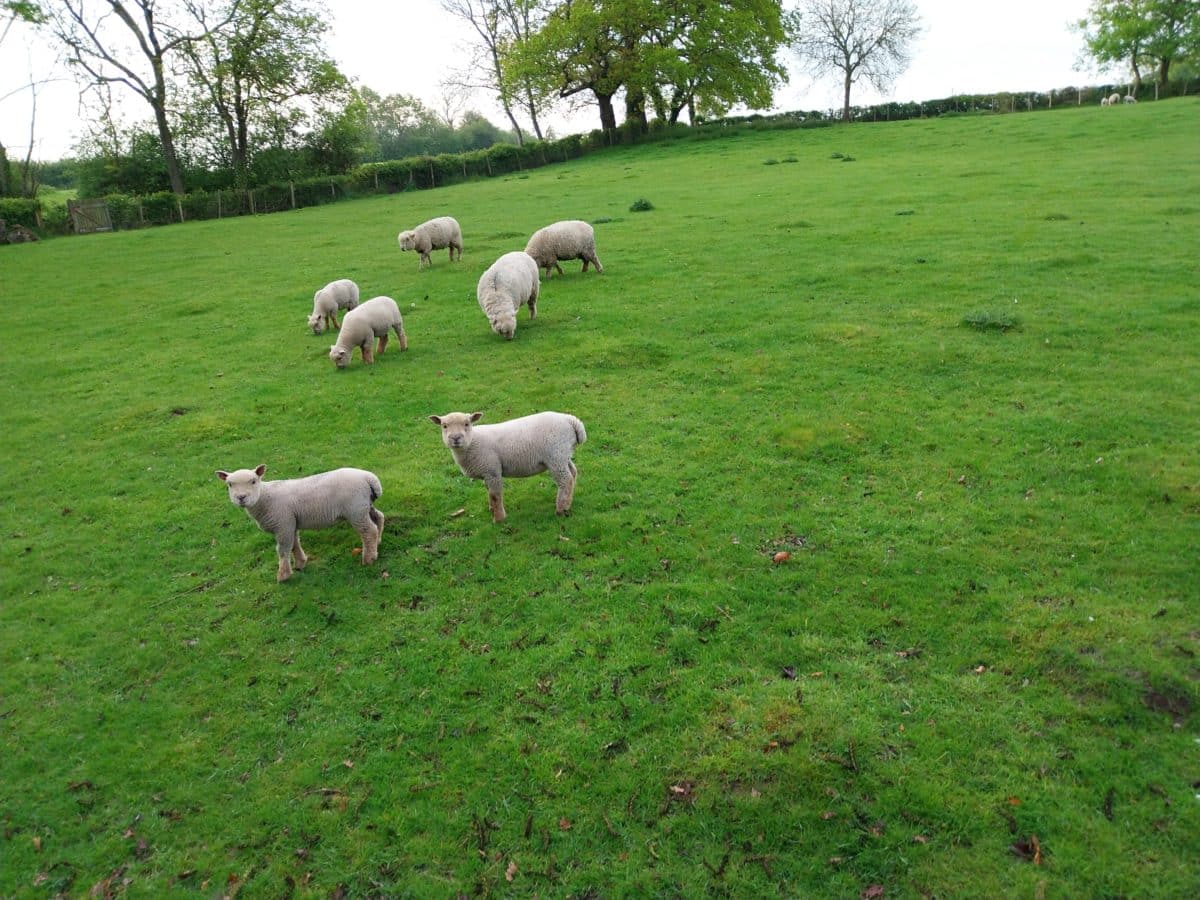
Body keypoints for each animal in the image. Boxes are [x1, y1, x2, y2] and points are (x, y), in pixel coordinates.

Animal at [215, 464, 384, 582]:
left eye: (253, 481)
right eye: (230, 484)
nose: (241, 497)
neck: (265, 497)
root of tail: (369, 478)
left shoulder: (283, 524)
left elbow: (282, 550)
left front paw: (283, 575)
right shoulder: (290, 523)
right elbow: (294, 544)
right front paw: (300, 563)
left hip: (356, 510)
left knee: (369, 531)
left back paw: (369, 558)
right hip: (364, 505)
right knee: (379, 517)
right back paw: (378, 542)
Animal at [428, 410, 587, 523]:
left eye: (467, 424)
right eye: (444, 426)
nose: (455, 438)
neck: (473, 442)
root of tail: (571, 420)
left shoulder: (492, 470)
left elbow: (495, 495)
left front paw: (499, 519)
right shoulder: (487, 472)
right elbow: (489, 492)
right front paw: (492, 509)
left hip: (555, 456)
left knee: (566, 480)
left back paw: (561, 509)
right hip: (563, 455)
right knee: (573, 473)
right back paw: (569, 503)